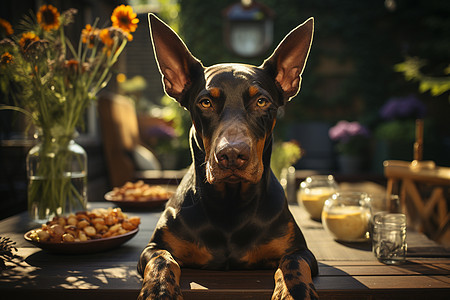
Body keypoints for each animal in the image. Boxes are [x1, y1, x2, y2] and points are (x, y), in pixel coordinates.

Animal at [139, 12, 318, 298]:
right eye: (205, 102)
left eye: (261, 101)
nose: (232, 154)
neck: (230, 206)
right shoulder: (154, 246)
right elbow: (162, 259)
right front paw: (158, 289)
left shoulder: (300, 249)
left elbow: (293, 262)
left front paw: (293, 292)